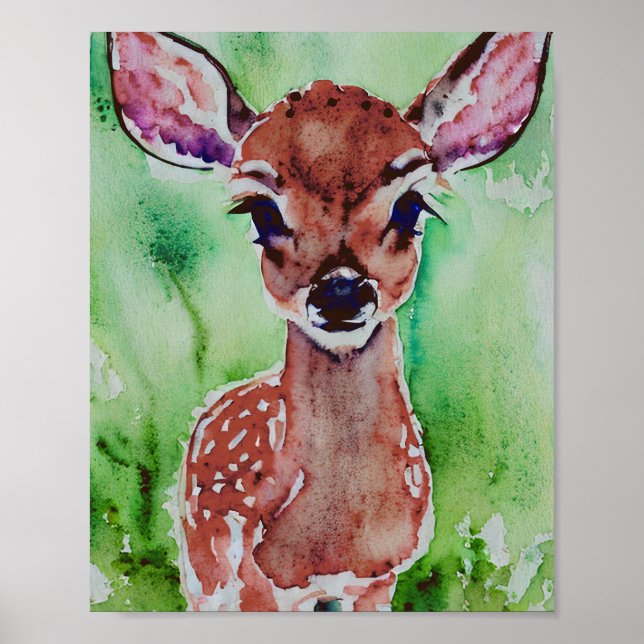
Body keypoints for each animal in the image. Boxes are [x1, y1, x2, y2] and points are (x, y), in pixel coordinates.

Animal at [107, 31, 550, 611]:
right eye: (259, 211)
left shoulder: (379, 579)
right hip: (201, 559)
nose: (341, 291)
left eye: (412, 205)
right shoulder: (254, 582)